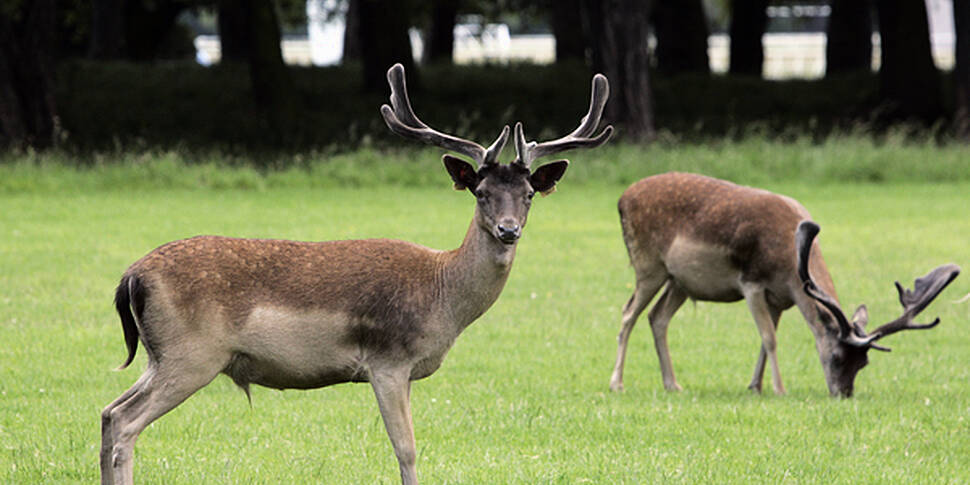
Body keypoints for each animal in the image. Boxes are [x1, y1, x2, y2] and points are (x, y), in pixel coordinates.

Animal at [100, 64, 612, 484]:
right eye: (481, 192)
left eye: (528, 194)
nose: (508, 230)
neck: (442, 296)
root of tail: (131, 277)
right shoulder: (388, 360)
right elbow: (406, 450)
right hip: (193, 354)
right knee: (125, 422)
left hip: (160, 355)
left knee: (108, 413)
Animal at [608, 172, 956, 396]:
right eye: (837, 358)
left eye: (865, 362)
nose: (844, 394)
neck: (790, 267)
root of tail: (622, 198)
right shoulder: (751, 283)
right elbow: (770, 338)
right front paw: (779, 388)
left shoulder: (779, 298)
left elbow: (765, 340)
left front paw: (755, 385)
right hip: (648, 265)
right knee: (627, 313)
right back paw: (617, 383)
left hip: (680, 281)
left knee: (657, 317)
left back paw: (672, 384)